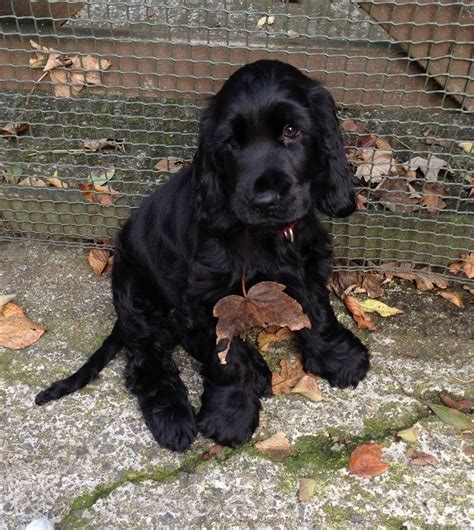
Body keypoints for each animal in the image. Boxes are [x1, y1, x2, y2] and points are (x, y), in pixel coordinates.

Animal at [37, 60, 370, 450]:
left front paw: (340, 358)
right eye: (233, 144)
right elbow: (226, 359)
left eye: (291, 130)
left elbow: (316, 312)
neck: (262, 236)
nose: (264, 200)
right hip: (137, 293)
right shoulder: (207, 297)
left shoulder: (307, 265)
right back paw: (173, 417)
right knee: (146, 359)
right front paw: (230, 416)